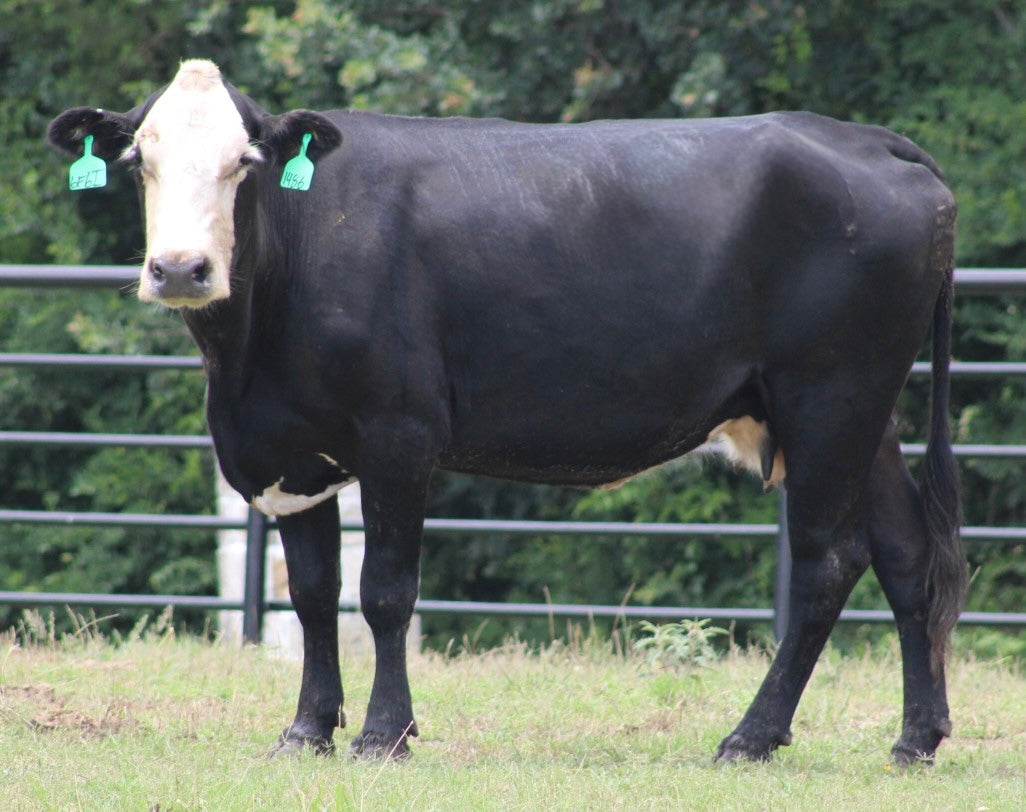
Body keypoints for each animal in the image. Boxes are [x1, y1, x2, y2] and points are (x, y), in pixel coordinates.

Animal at [49, 59, 965, 764]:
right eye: (138, 161)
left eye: (245, 162)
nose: (180, 268)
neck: (247, 362)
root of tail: (866, 139)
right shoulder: (294, 449)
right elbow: (311, 596)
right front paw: (307, 730)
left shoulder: (399, 433)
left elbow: (384, 592)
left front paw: (383, 734)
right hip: (866, 412)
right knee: (905, 555)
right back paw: (915, 738)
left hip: (829, 395)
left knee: (825, 563)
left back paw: (751, 736)